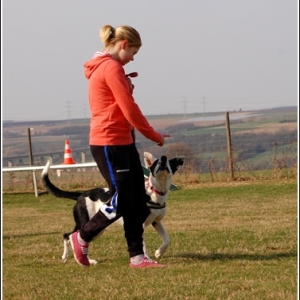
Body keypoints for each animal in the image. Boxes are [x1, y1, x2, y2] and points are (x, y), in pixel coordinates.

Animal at [41, 151, 184, 264]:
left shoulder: (157, 221)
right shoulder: (138, 224)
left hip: (95, 228)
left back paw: (83, 259)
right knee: (69, 235)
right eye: (156, 162)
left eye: (169, 162)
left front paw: (159, 253)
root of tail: (81, 195)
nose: (164, 158)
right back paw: (72, 257)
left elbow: (167, 240)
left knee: (77, 237)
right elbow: (143, 245)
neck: (154, 191)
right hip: (86, 223)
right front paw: (147, 259)